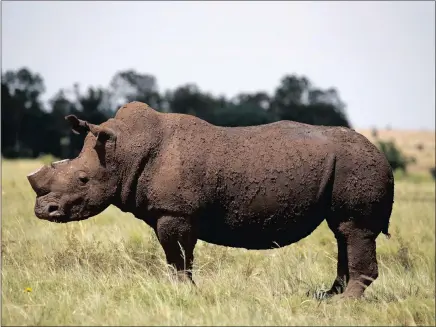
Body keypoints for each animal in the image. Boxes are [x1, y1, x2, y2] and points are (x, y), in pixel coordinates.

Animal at [28, 102, 396, 300]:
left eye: (83, 179)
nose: (43, 210)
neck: (126, 150)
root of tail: (382, 154)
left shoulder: (175, 212)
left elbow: (177, 257)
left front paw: (184, 293)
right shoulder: (174, 213)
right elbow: (179, 257)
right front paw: (185, 292)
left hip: (357, 164)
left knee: (354, 229)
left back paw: (344, 304)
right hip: (348, 165)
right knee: (342, 233)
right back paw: (326, 297)